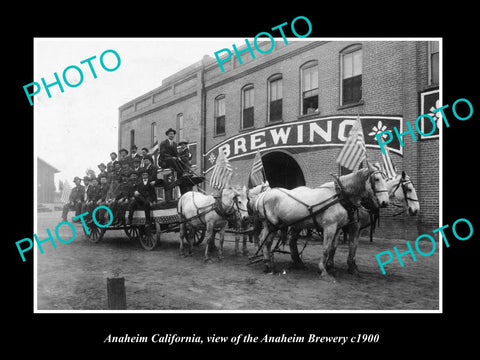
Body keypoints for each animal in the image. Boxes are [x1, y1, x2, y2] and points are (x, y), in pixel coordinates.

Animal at [255, 164, 390, 282]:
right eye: (377, 179)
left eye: (386, 179)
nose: (385, 202)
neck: (339, 196)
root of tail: (263, 195)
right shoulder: (330, 226)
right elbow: (326, 248)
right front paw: (324, 271)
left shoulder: (338, 228)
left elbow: (333, 247)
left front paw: (332, 268)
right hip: (271, 224)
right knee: (265, 241)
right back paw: (268, 266)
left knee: (272, 241)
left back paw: (280, 263)